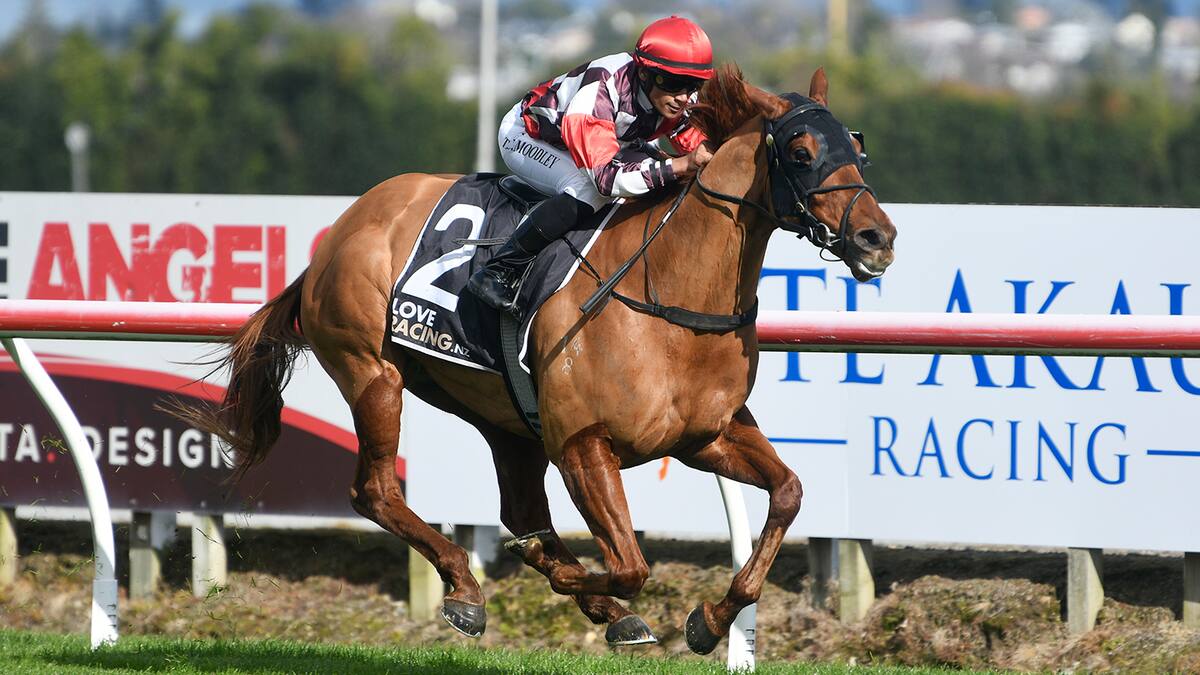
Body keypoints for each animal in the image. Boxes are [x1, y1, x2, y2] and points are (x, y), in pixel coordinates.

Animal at [174, 64, 896, 654]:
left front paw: (707, 620)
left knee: (520, 512)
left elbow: (788, 493)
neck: (669, 294)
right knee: (377, 490)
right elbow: (630, 564)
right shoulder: (583, 444)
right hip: (372, 372)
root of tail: (345, 227)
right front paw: (586, 584)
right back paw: (468, 589)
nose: (877, 237)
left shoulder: (704, 436)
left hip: (505, 419)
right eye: (801, 152)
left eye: (858, 147)